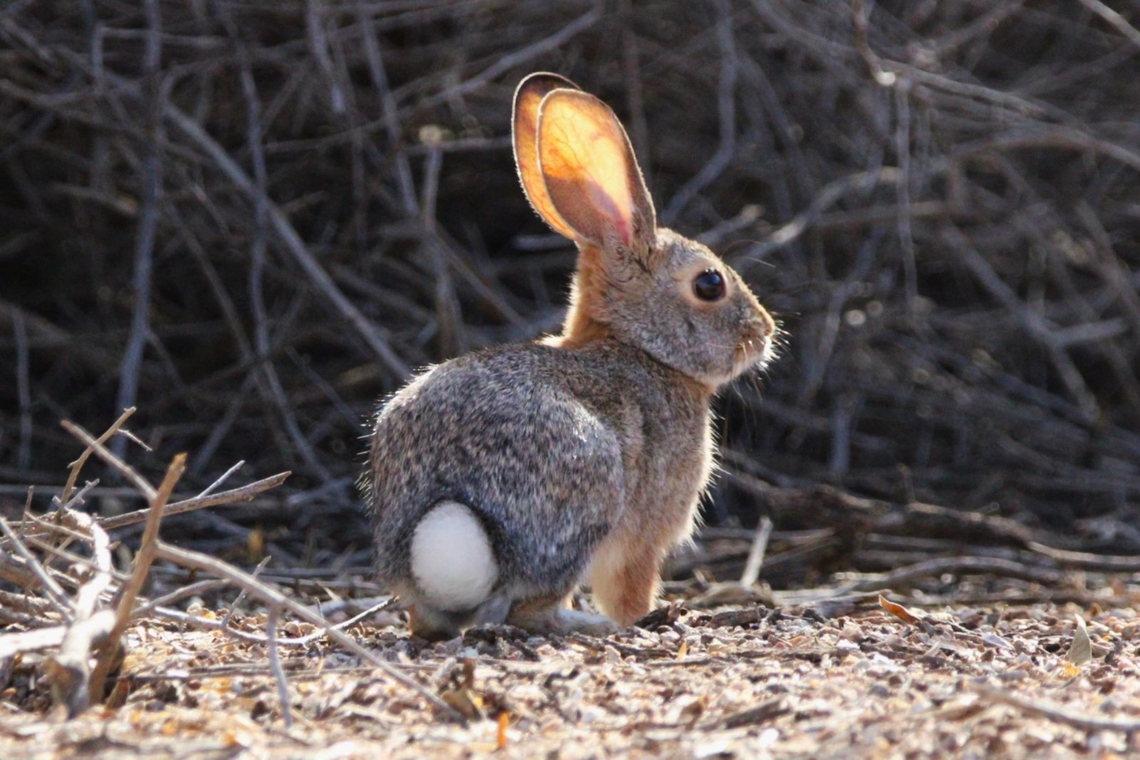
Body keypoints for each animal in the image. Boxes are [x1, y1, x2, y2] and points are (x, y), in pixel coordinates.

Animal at [363, 72, 777, 640]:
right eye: (710, 284)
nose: (765, 332)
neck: (638, 347)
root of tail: (447, 508)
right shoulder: (646, 533)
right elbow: (629, 585)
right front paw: (643, 615)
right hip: (592, 492)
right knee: (530, 611)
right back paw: (596, 625)